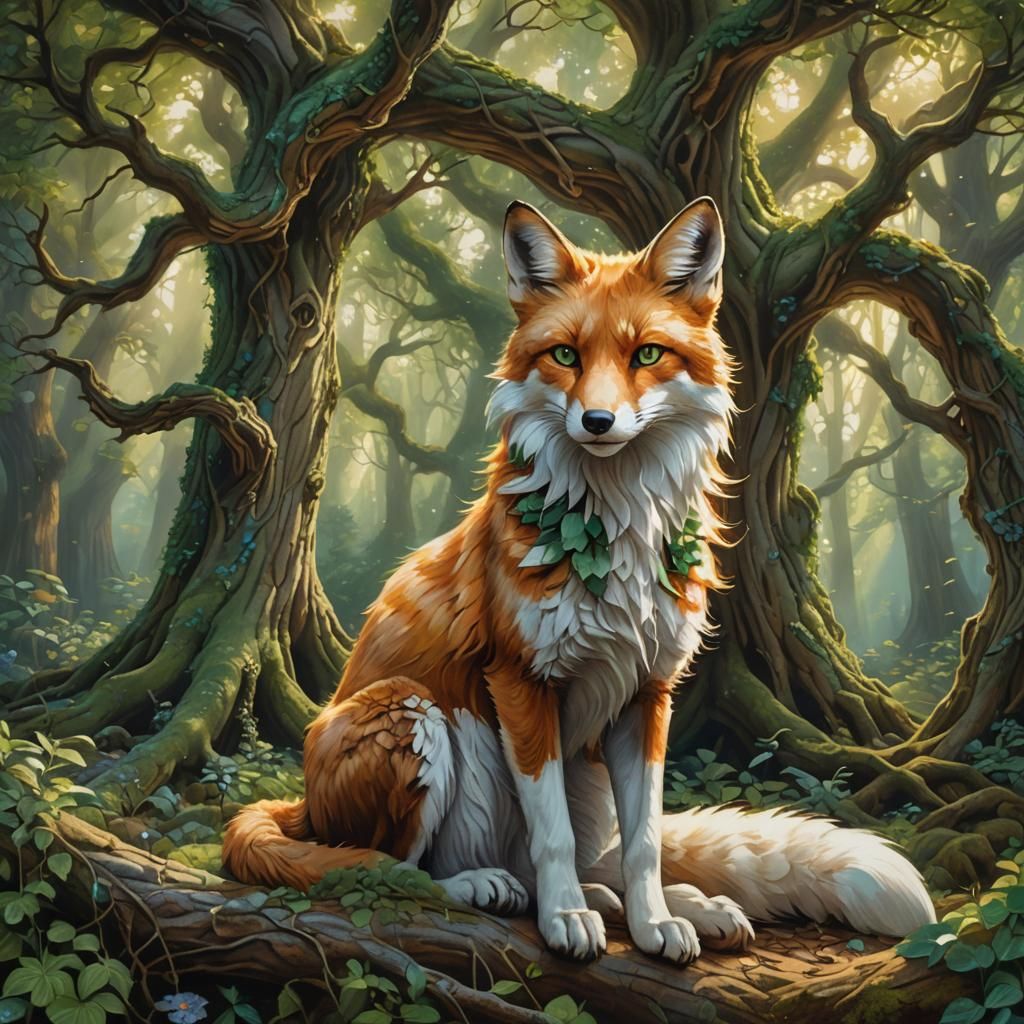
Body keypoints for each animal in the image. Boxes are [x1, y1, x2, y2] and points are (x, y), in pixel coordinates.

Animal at [222, 198, 936, 963]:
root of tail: (299, 805)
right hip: (411, 714)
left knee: (596, 864)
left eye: (647, 354)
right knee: (387, 865)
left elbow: (646, 842)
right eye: (565, 355)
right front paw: (566, 921)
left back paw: (674, 905)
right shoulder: (521, 683)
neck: (614, 539)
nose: (597, 421)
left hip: (585, 772)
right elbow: (552, 837)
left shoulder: (649, 694)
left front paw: (655, 924)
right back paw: (491, 887)